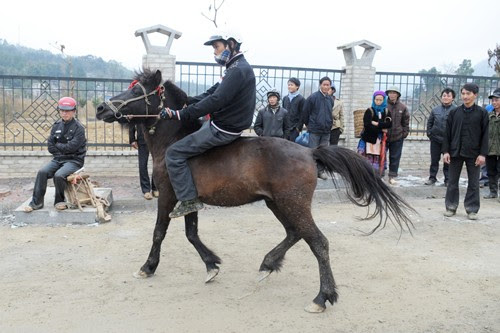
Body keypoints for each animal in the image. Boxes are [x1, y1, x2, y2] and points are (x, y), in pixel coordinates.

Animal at [96, 68, 414, 312]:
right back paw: (267, 265)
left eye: (138, 91)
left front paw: (148, 267)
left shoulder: (169, 195)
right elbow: (191, 234)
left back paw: (322, 297)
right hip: (278, 203)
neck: (174, 139)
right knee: (295, 233)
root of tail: (310, 152)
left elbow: (159, 232)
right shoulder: (189, 200)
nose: (101, 108)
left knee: (318, 242)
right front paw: (212, 265)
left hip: (293, 204)